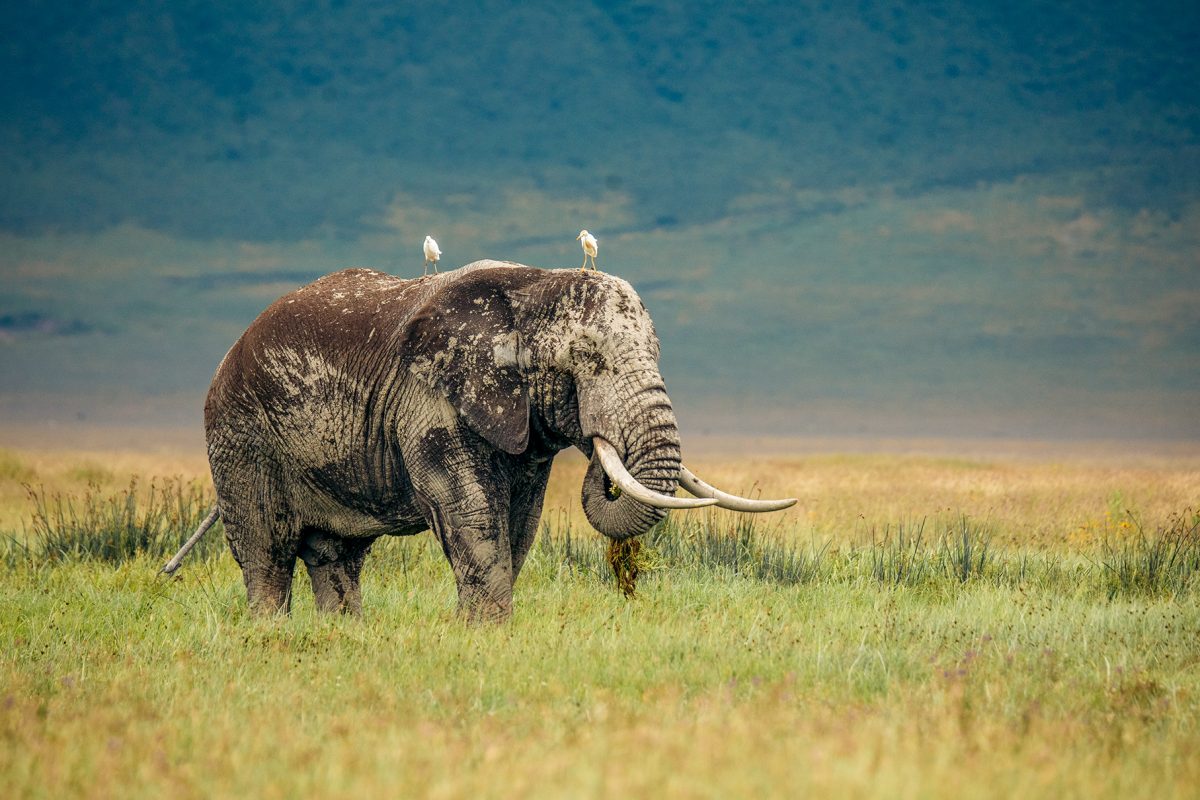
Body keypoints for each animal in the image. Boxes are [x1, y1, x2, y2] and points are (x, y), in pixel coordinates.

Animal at [168, 260, 795, 621]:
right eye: (587, 359)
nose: (601, 451)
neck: (533, 286)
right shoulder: (428, 398)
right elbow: (470, 509)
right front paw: (486, 630)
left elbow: (520, 519)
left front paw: (490, 631)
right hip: (239, 433)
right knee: (266, 550)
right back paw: (272, 636)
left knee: (337, 556)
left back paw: (344, 636)